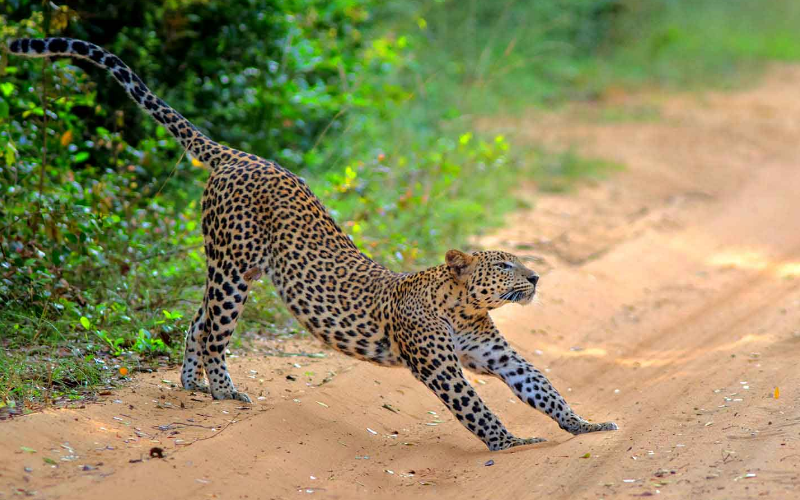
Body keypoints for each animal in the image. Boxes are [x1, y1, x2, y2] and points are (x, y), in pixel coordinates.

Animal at [7, 35, 620, 450]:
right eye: (507, 265)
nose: (537, 277)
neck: (461, 306)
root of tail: (237, 154)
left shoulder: (497, 355)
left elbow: (542, 387)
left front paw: (586, 424)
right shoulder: (439, 363)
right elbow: (473, 405)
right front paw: (510, 442)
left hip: (235, 268)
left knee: (196, 320)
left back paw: (192, 386)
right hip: (232, 266)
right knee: (214, 330)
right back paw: (224, 391)